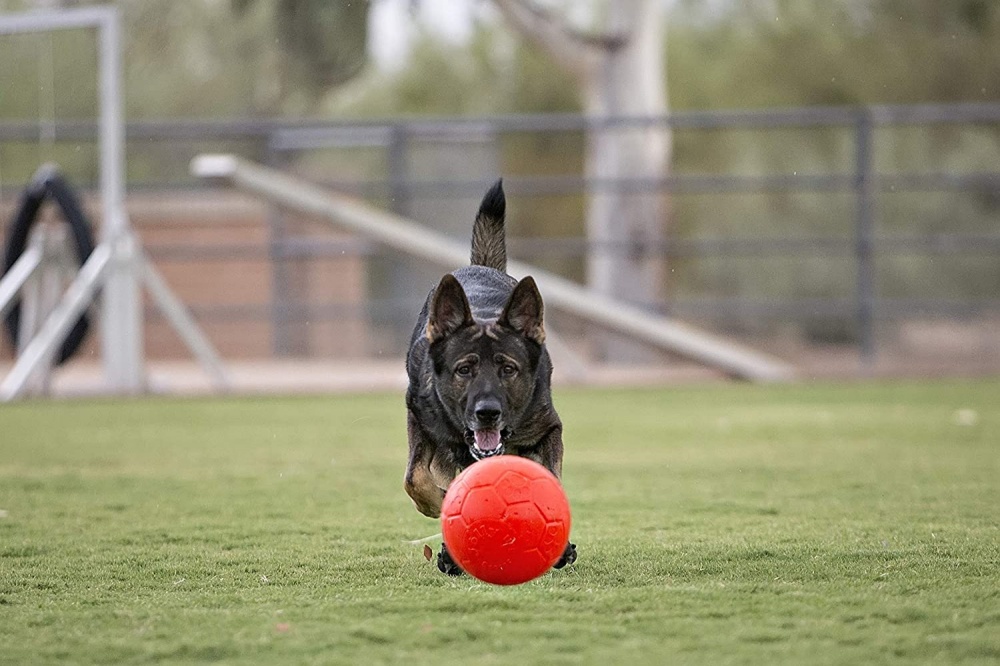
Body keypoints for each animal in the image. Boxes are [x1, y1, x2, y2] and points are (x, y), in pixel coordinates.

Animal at [404, 179, 580, 572]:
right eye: (464, 369)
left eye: (508, 369)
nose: (487, 413)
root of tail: (479, 267)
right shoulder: (420, 421)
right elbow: (416, 479)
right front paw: (442, 512)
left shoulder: (548, 429)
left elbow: (553, 482)